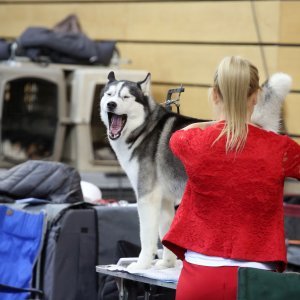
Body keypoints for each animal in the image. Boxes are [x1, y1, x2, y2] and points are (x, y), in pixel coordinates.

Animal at [99, 71, 292, 270]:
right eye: (109, 94)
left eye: (125, 97)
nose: (111, 104)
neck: (145, 129)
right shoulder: (164, 199)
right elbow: (164, 231)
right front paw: (167, 263)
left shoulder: (147, 197)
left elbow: (146, 236)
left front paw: (141, 264)